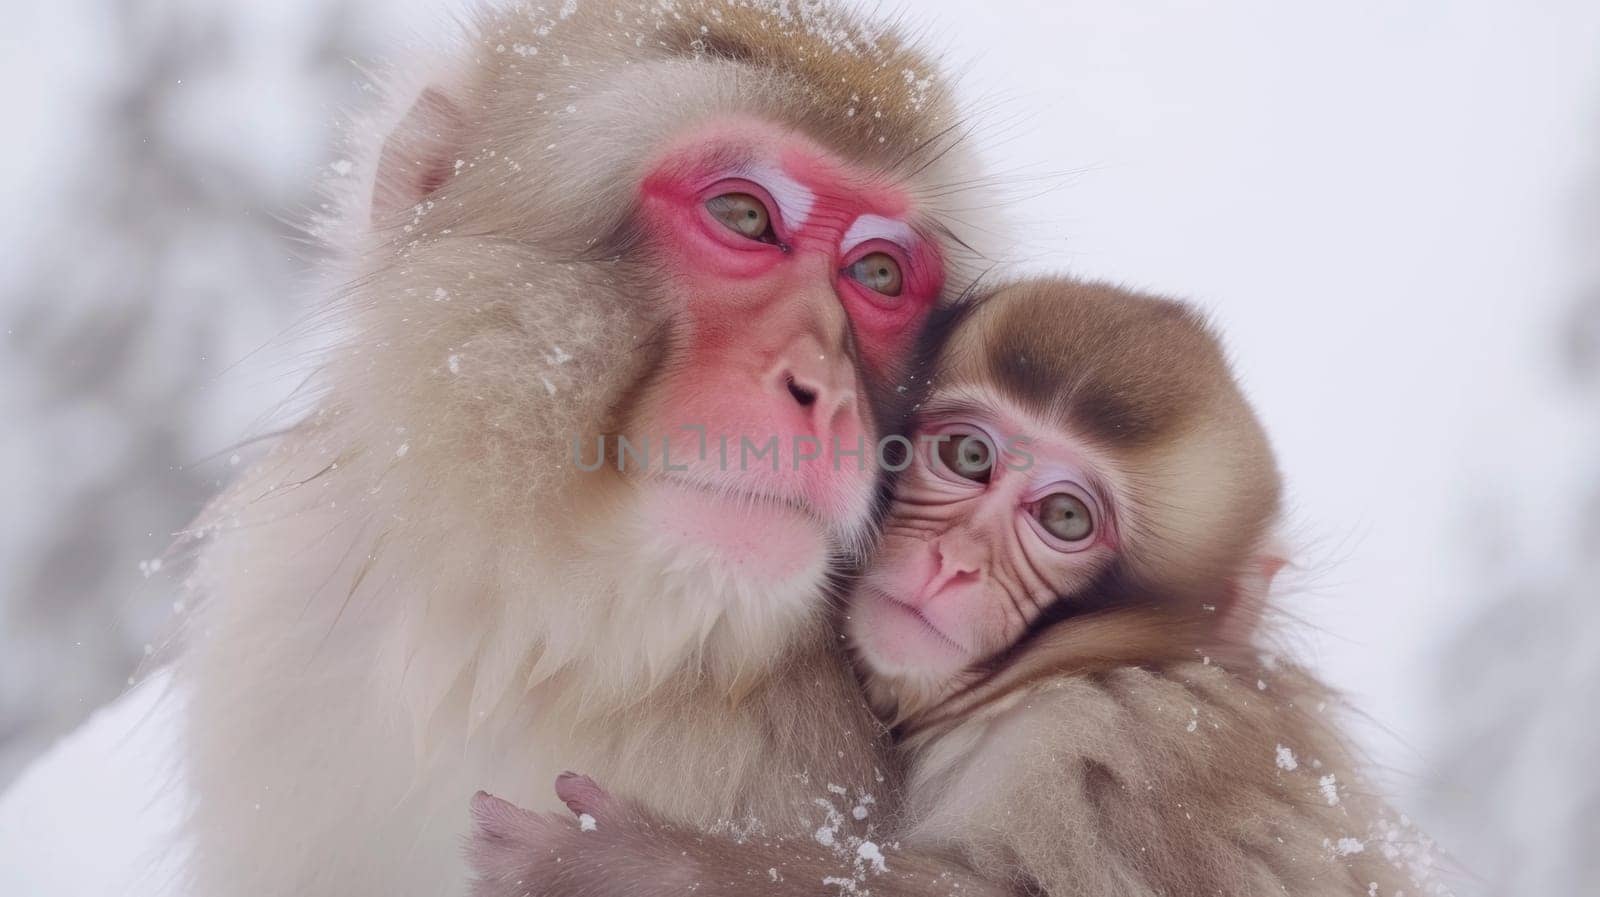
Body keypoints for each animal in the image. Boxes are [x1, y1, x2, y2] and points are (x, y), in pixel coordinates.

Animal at [467, 276, 1452, 889]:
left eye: (1065, 518)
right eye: (970, 457)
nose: (956, 559)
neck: (1071, 664)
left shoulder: (1120, 752)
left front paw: (618, 866)